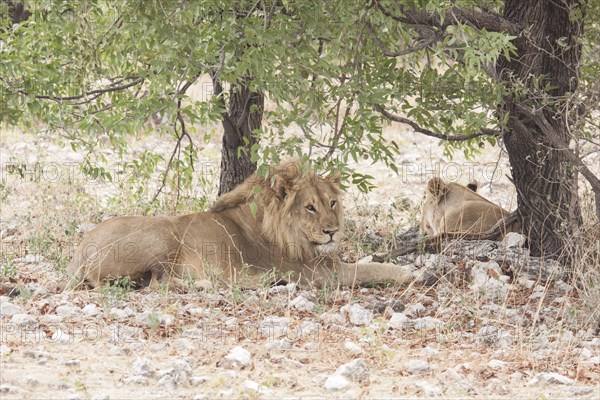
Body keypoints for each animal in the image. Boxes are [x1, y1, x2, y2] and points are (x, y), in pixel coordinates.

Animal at [68, 161, 414, 290]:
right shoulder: (314, 273)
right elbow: (367, 269)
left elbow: (367, 262)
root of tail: (81, 251)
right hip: (162, 235)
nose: (332, 231)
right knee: (157, 283)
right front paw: (408, 273)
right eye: (309, 207)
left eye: (332, 203)